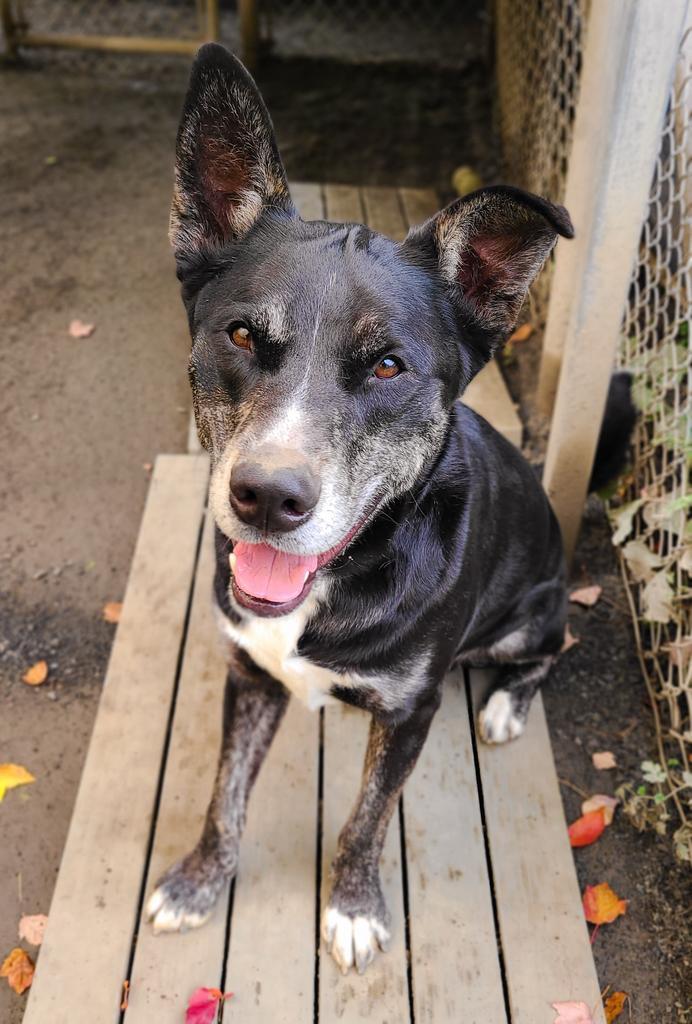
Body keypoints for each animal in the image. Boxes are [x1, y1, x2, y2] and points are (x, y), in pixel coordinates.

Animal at [146, 46, 630, 974]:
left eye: (387, 367)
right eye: (238, 336)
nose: (267, 498)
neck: (341, 580)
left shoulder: (410, 714)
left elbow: (366, 819)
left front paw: (353, 908)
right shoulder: (247, 673)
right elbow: (224, 796)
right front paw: (197, 881)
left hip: (530, 614)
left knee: (550, 650)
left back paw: (507, 706)